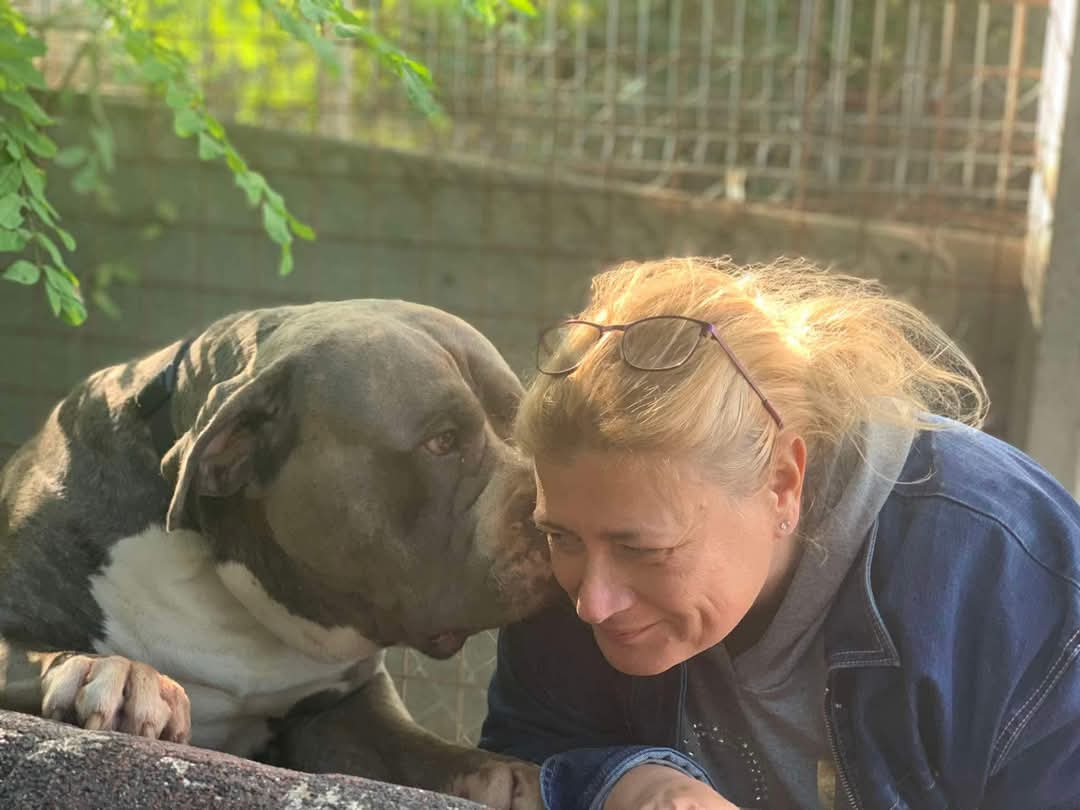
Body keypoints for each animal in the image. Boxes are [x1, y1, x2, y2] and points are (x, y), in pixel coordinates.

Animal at [0, 299, 554, 808]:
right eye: (442, 441)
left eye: (525, 425)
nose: (552, 506)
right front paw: (111, 672)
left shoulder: (341, 710)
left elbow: (421, 751)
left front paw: (508, 775)